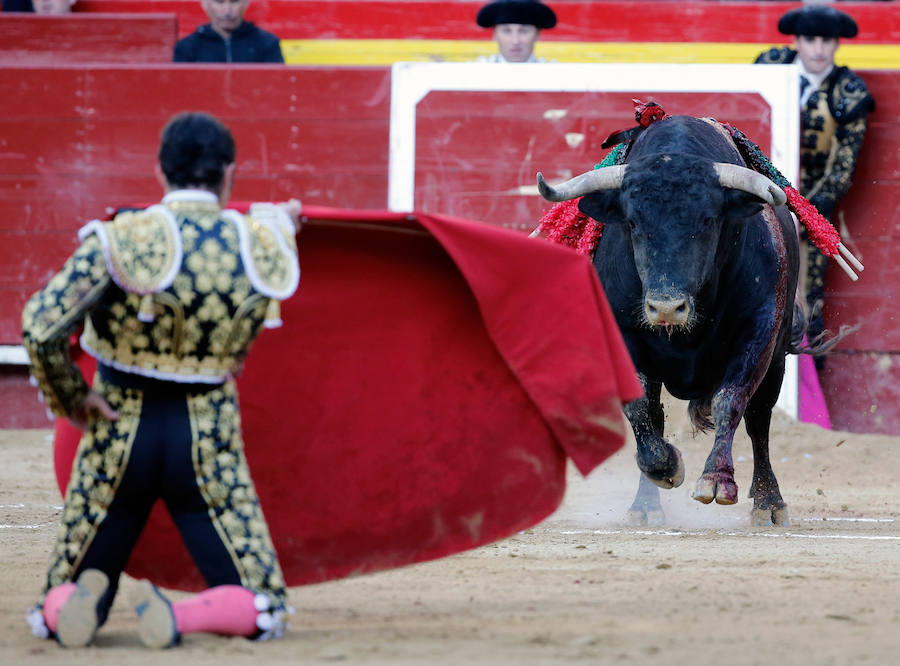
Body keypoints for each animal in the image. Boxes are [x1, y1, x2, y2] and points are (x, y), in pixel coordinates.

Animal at [536, 116, 800, 528]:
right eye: (631, 222)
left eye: (708, 220)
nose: (664, 308)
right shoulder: (624, 337)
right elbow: (641, 410)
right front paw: (665, 468)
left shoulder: (759, 331)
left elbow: (732, 401)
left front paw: (716, 481)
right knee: (657, 417)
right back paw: (646, 505)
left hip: (777, 357)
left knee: (760, 420)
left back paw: (768, 502)